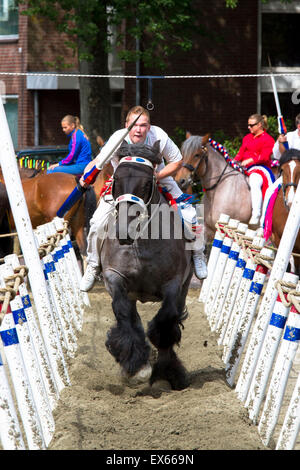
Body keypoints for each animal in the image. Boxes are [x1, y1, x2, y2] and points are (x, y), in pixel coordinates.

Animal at [99, 140, 193, 390]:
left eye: (147, 183)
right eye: (116, 180)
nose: (124, 231)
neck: (141, 245)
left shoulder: (174, 283)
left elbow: (166, 322)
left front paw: (168, 371)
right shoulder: (114, 278)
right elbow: (123, 314)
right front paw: (135, 366)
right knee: (132, 317)